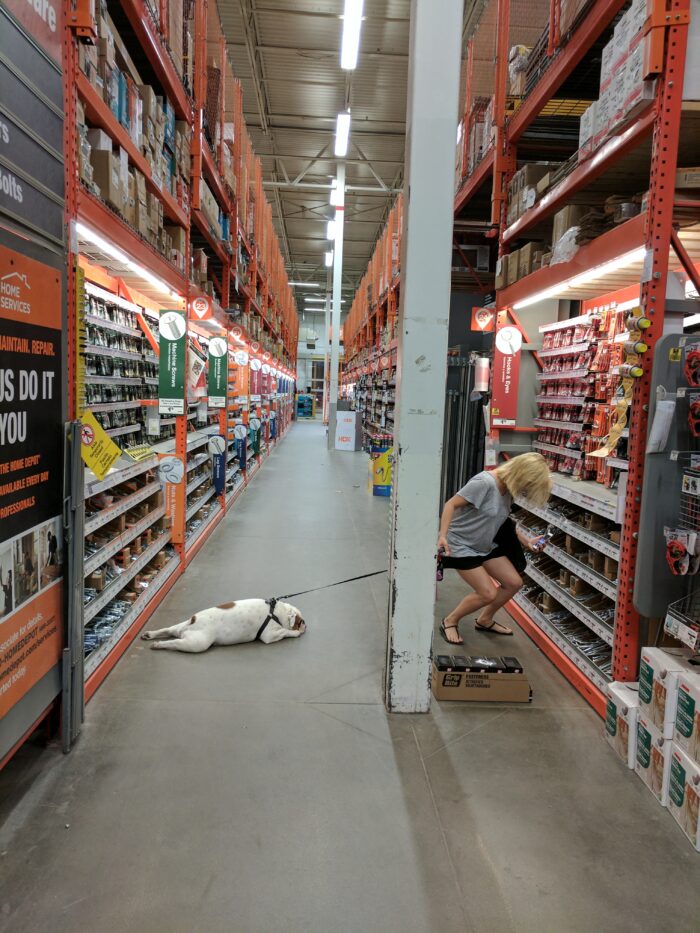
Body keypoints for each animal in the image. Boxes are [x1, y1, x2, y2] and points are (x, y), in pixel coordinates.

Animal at [141, 596, 304, 648]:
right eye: (300, 623)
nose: (305, 626)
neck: (277, 611)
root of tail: (192, 621)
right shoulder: (270, 635)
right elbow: (285, 631)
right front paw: (295, 633)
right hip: (197, 643)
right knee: (174, 643)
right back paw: (158, 644)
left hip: (180, 627)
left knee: (168, 630)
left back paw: (150, 635)